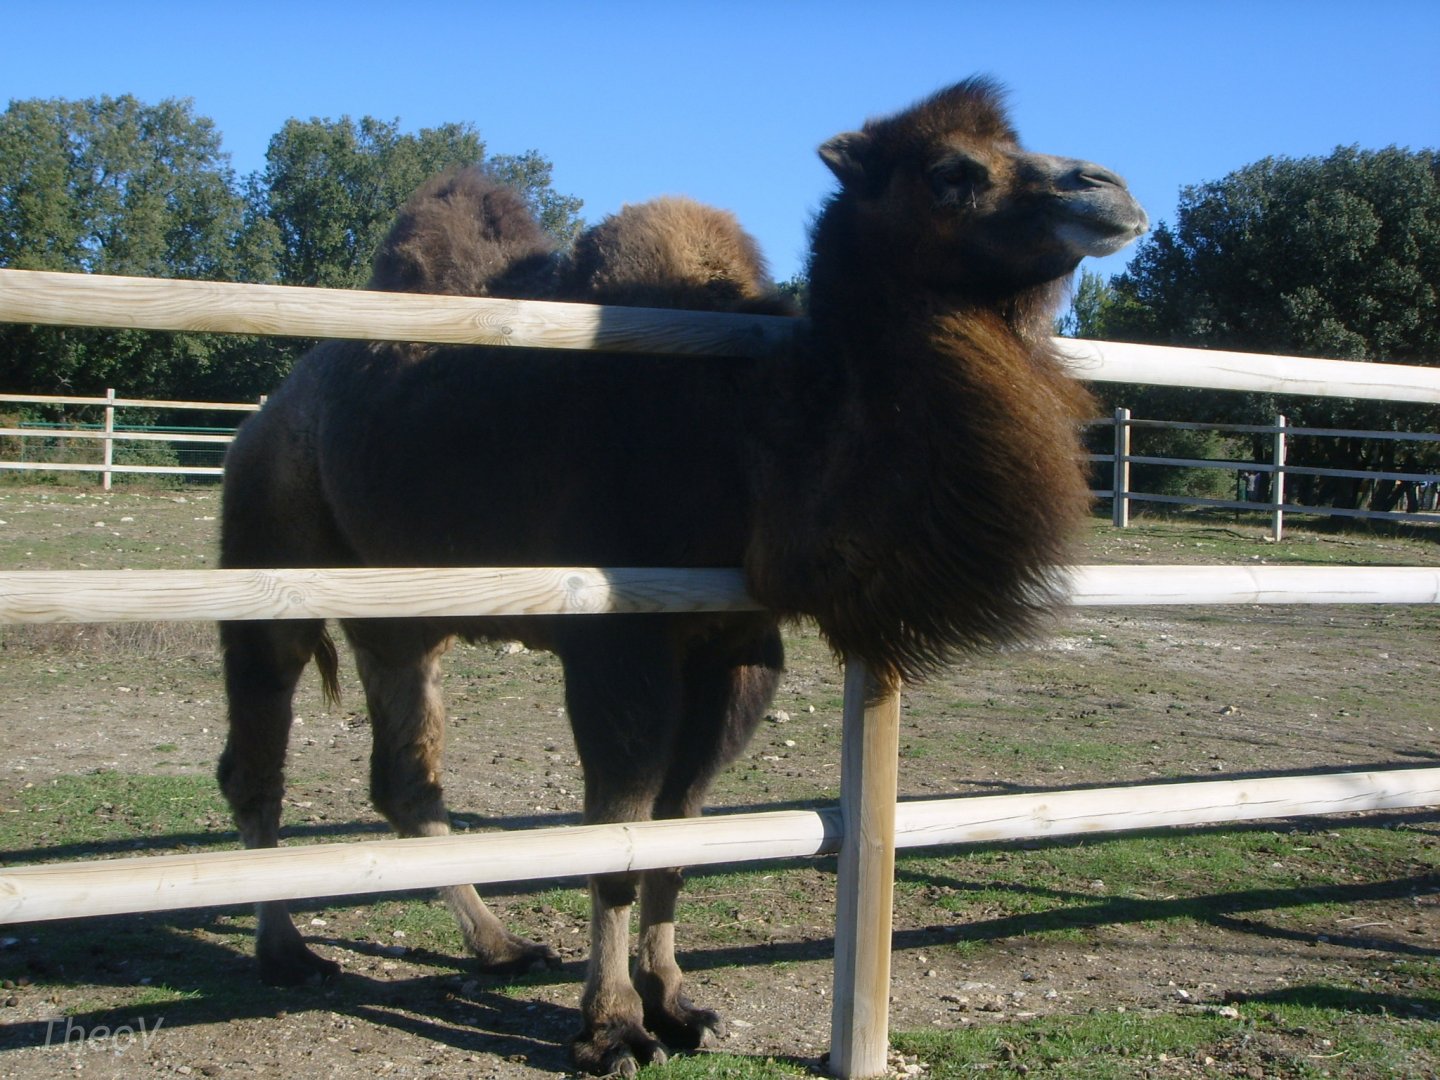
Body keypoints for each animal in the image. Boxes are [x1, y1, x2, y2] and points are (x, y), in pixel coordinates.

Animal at [217, 77, 1146, 1076]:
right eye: (952, 171)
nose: (1108, 188)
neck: (749, 439)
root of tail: (268, 410)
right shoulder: (616, 642)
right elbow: (616, 840)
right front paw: (612, 1028)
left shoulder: (739, 645)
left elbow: (677, 834)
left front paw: (677, 1005)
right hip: (269, 546)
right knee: (257, 752)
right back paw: (287, 953)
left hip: (403, 613)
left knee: (404, 776)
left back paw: (499, 946)